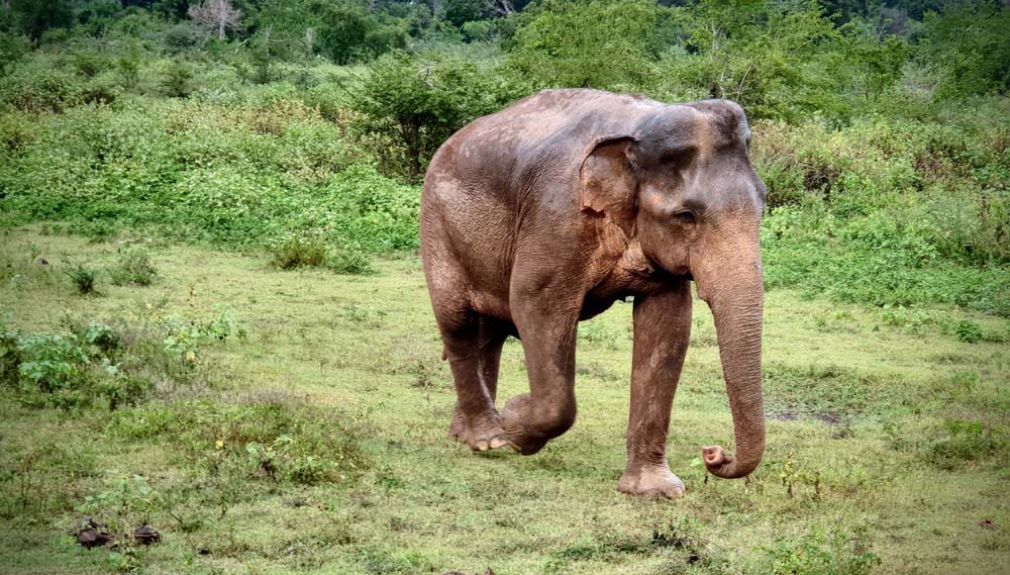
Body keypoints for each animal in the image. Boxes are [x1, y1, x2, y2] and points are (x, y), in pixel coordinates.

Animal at [420, 88, 766, 498]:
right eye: (686, 216)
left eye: (763, 205)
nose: (713, 453)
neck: (637, 132)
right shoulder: (557, 215)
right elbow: (536, 303)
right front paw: (516, 419)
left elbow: (668, 324)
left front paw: (655, 491)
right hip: (438, 227)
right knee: (458, 323)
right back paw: (489, 436)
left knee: (490, 334)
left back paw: (470, 435)